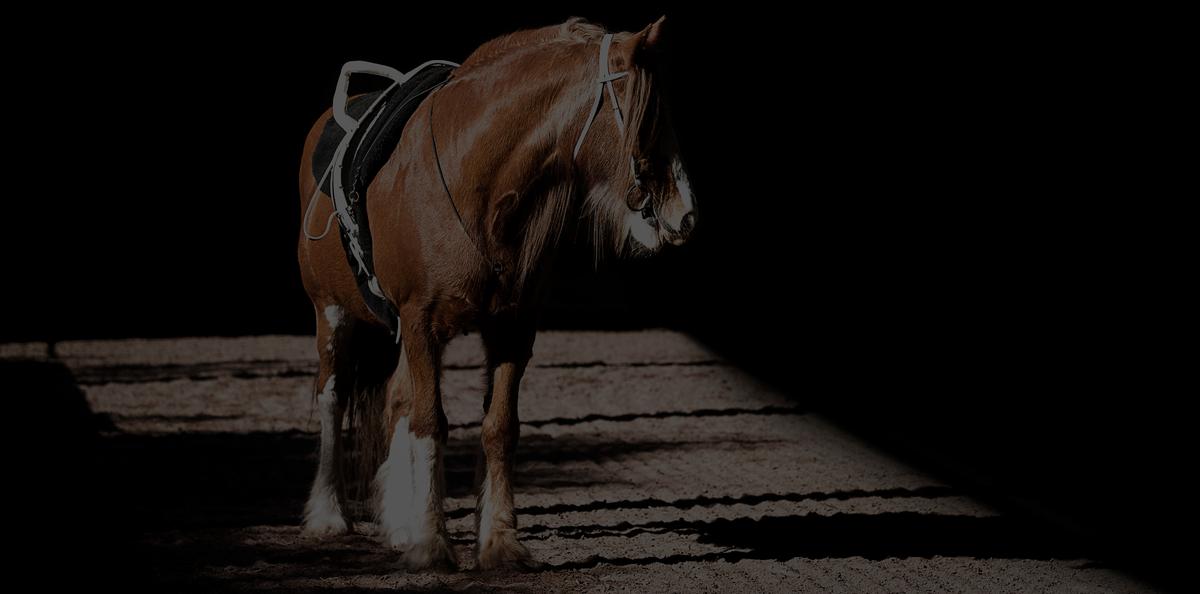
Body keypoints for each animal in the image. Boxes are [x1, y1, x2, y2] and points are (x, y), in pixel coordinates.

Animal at [296, 16, 696, 570]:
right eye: (649, 115)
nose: (685, 213)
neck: (476, 184)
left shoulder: (511, 329)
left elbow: (498, 427)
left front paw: (499, 541)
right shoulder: (420, 323)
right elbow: (430, 422)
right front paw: (432, 543)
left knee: (394, 398)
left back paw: (397, 523)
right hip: (332, 314)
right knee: (333, 397)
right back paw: (330, 515)